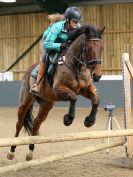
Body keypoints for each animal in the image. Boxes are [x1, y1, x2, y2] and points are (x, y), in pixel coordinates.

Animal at [7, 25, 105, 162]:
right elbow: (73, 97)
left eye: (101, 48)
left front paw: (89, 121)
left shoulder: (84, 90)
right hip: (25, 102)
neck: (76, 66)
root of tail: (29, 69)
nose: (97, 75)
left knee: (36, 124)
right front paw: (68, 119)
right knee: (19, 124)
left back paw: (30, 153)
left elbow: (96, 99)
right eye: (89, 48)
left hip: (46, 105)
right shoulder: (59, 89)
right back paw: (11, 152)